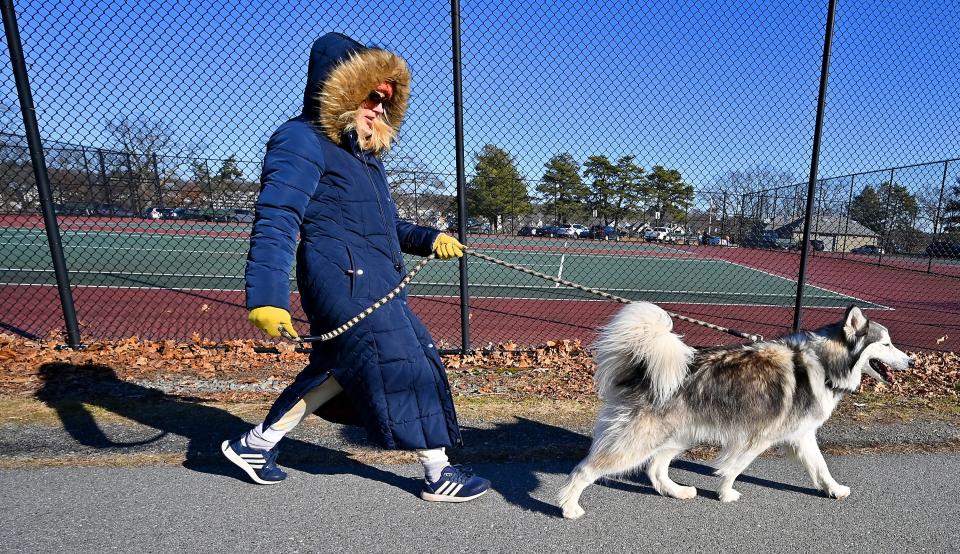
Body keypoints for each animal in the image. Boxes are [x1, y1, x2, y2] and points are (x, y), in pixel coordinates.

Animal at [560, 302, 912, 516]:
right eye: (886, 344)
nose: (911, 361)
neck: (824, 364)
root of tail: (645, 371)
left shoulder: (802, 436)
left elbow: (820, 468)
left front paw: (834, 490)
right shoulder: (757, 437)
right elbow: (734, 469)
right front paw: (726, 494)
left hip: (678, 435)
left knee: (655, 470)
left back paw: (677, 492)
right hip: (639, 441)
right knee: (585, 470)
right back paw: (568, 506)